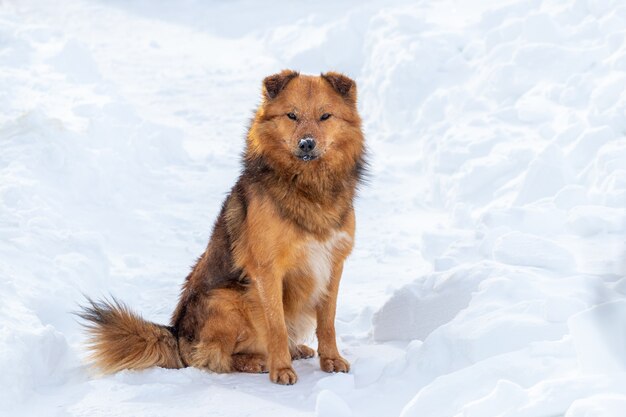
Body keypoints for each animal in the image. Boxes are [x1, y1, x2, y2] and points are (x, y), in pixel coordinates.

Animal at [82, 68, 366, 384]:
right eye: (292, 115)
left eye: (325, 116)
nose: (306, 143)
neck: (308, 187)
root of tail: (177, 336)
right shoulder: (268, 270)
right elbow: (276, 326)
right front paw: (281, 369)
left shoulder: (332, 264)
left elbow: (327, 321)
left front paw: (331, 359)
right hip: (227, 299)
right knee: (213, 356)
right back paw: (258, 360)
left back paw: (296, 350)